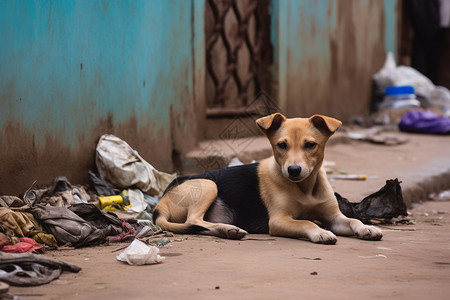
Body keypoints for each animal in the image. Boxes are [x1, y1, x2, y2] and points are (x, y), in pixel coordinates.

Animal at [153, 113, 382, 244]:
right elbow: (306, 221)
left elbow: (352, 220)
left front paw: (368, 228)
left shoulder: (334, 217)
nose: (294, 170)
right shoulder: (278, 220)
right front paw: (320, 232)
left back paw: (228, 231)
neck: (304, 187)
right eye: (281, 145)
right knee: (193, 221)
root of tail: (160, 203)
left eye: (310, 145)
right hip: (207, 184)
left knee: (199, 227)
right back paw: (229, 229)